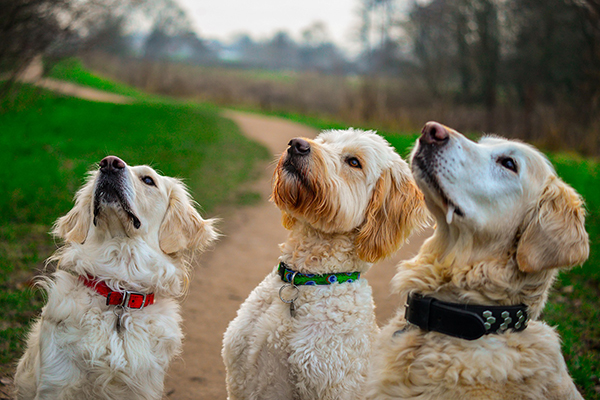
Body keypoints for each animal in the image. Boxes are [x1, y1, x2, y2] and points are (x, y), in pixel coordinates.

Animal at [14, 155, 218, 400]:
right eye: (101, 168)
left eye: (148, 180)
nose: (109, 163)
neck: (119, 291)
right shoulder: (56, 382)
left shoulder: (142, 389)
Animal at [221, 129, 426, 400]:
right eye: (324, 142)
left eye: (354, 162)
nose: (297, 145)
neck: (304, 279)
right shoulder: (239, 377)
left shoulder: (331, 386)